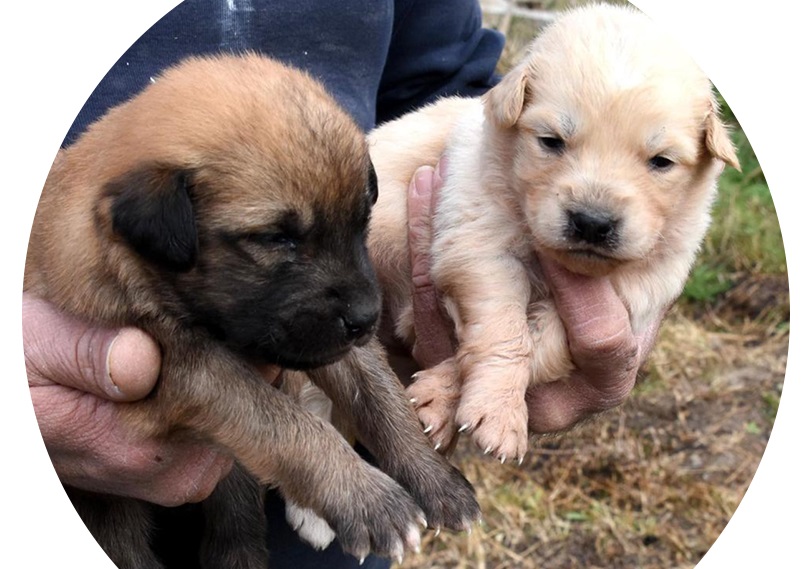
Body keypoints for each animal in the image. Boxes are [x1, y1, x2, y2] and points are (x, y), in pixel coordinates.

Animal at [26, 52, 480, 564]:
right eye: (275, 238)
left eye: (361, 221)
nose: (367, 320)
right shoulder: (193, 369)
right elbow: (291, 427)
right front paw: (368, 500)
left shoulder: (322, 342)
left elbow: (383, 399)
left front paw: (434, 477)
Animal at [366, 3, 740, 462]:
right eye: (550, 141)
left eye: (662, 161)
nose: (592, 222)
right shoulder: (480, 244)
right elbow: (505, 331)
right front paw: (497, 413)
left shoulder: (635, 294)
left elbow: (541, 342)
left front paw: (446, 395)